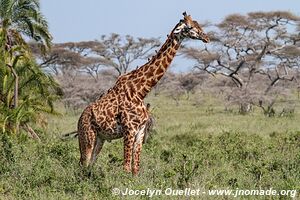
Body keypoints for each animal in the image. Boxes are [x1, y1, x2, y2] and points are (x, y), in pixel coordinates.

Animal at [77, 11, 209, 175]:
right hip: (87, 136)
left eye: (198, 24)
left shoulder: (139, 131)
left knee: (90, 165)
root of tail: (79, 119)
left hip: (100, 139)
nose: (206, 37)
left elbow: (135, 168)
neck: (140, 91)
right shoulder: (129, 130)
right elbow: (126, 167)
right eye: (190, 27)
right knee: (84, 163)